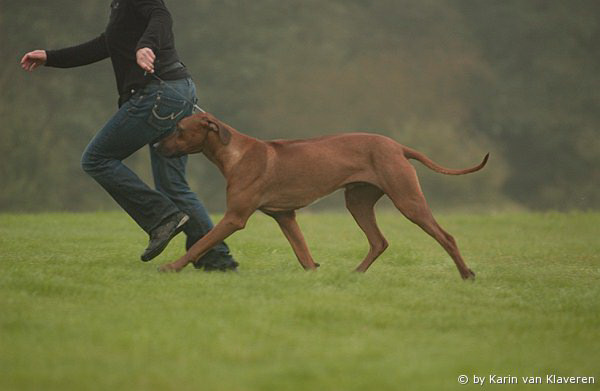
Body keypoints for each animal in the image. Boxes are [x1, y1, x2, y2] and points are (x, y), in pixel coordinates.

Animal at [154, 112, 488, 280]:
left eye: (179, 129)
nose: (156, 146)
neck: (234, 153)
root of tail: (398, 146)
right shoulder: (285, 216)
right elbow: (302, 252)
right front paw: (314, 273)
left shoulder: (235, 218)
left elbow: (201, 243)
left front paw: (171, 266)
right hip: (357, 202)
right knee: (379, 241)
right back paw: (356, 274)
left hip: (408, 200)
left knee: (446, 237)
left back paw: (466, 273)